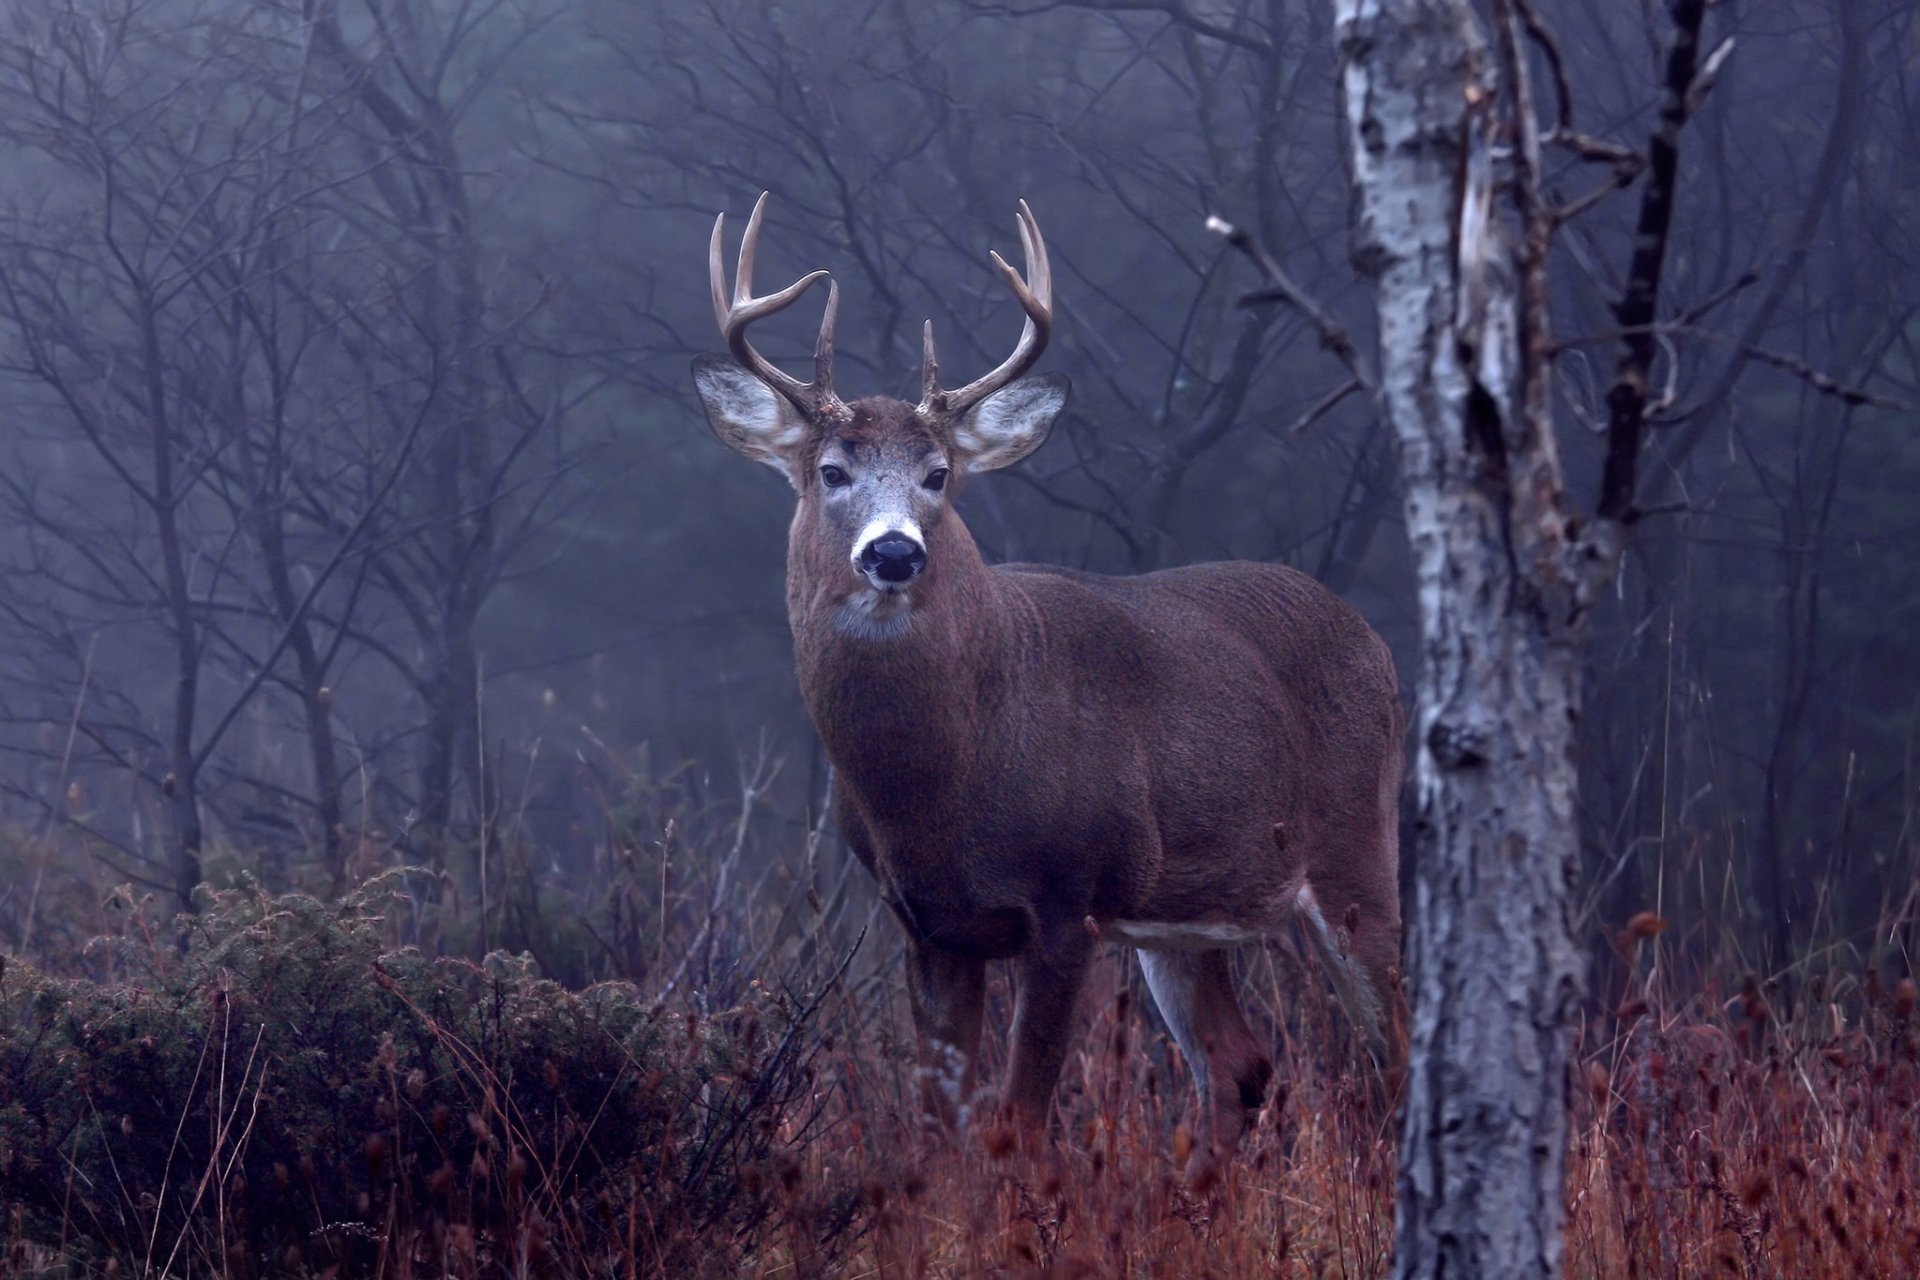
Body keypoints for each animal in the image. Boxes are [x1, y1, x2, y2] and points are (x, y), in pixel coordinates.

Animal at [690, 193, 1407, 1183]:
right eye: (831, 471)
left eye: (939, 475)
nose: (894, 551)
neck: (943, 784)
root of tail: (1374, 640)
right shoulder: (927, 925)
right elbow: (940, 1135)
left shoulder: (1072, 901)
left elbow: (1018, 1124)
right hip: (1187, 917)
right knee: (1240, 1064)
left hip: (1355, 845)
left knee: (1395, 1050)